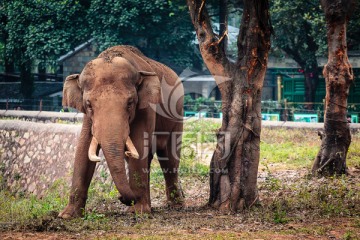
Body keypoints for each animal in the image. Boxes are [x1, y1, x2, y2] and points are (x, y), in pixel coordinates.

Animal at [58, 44, 186, 218]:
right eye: (89, 104)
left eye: (130, 103)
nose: (122, 198)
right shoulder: (88, 118)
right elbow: (83, 149)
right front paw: (67, 215)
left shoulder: (147, 108)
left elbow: (139, 143)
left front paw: (139, 211)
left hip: (177, 116)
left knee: (169, 158)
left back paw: (175, 205)